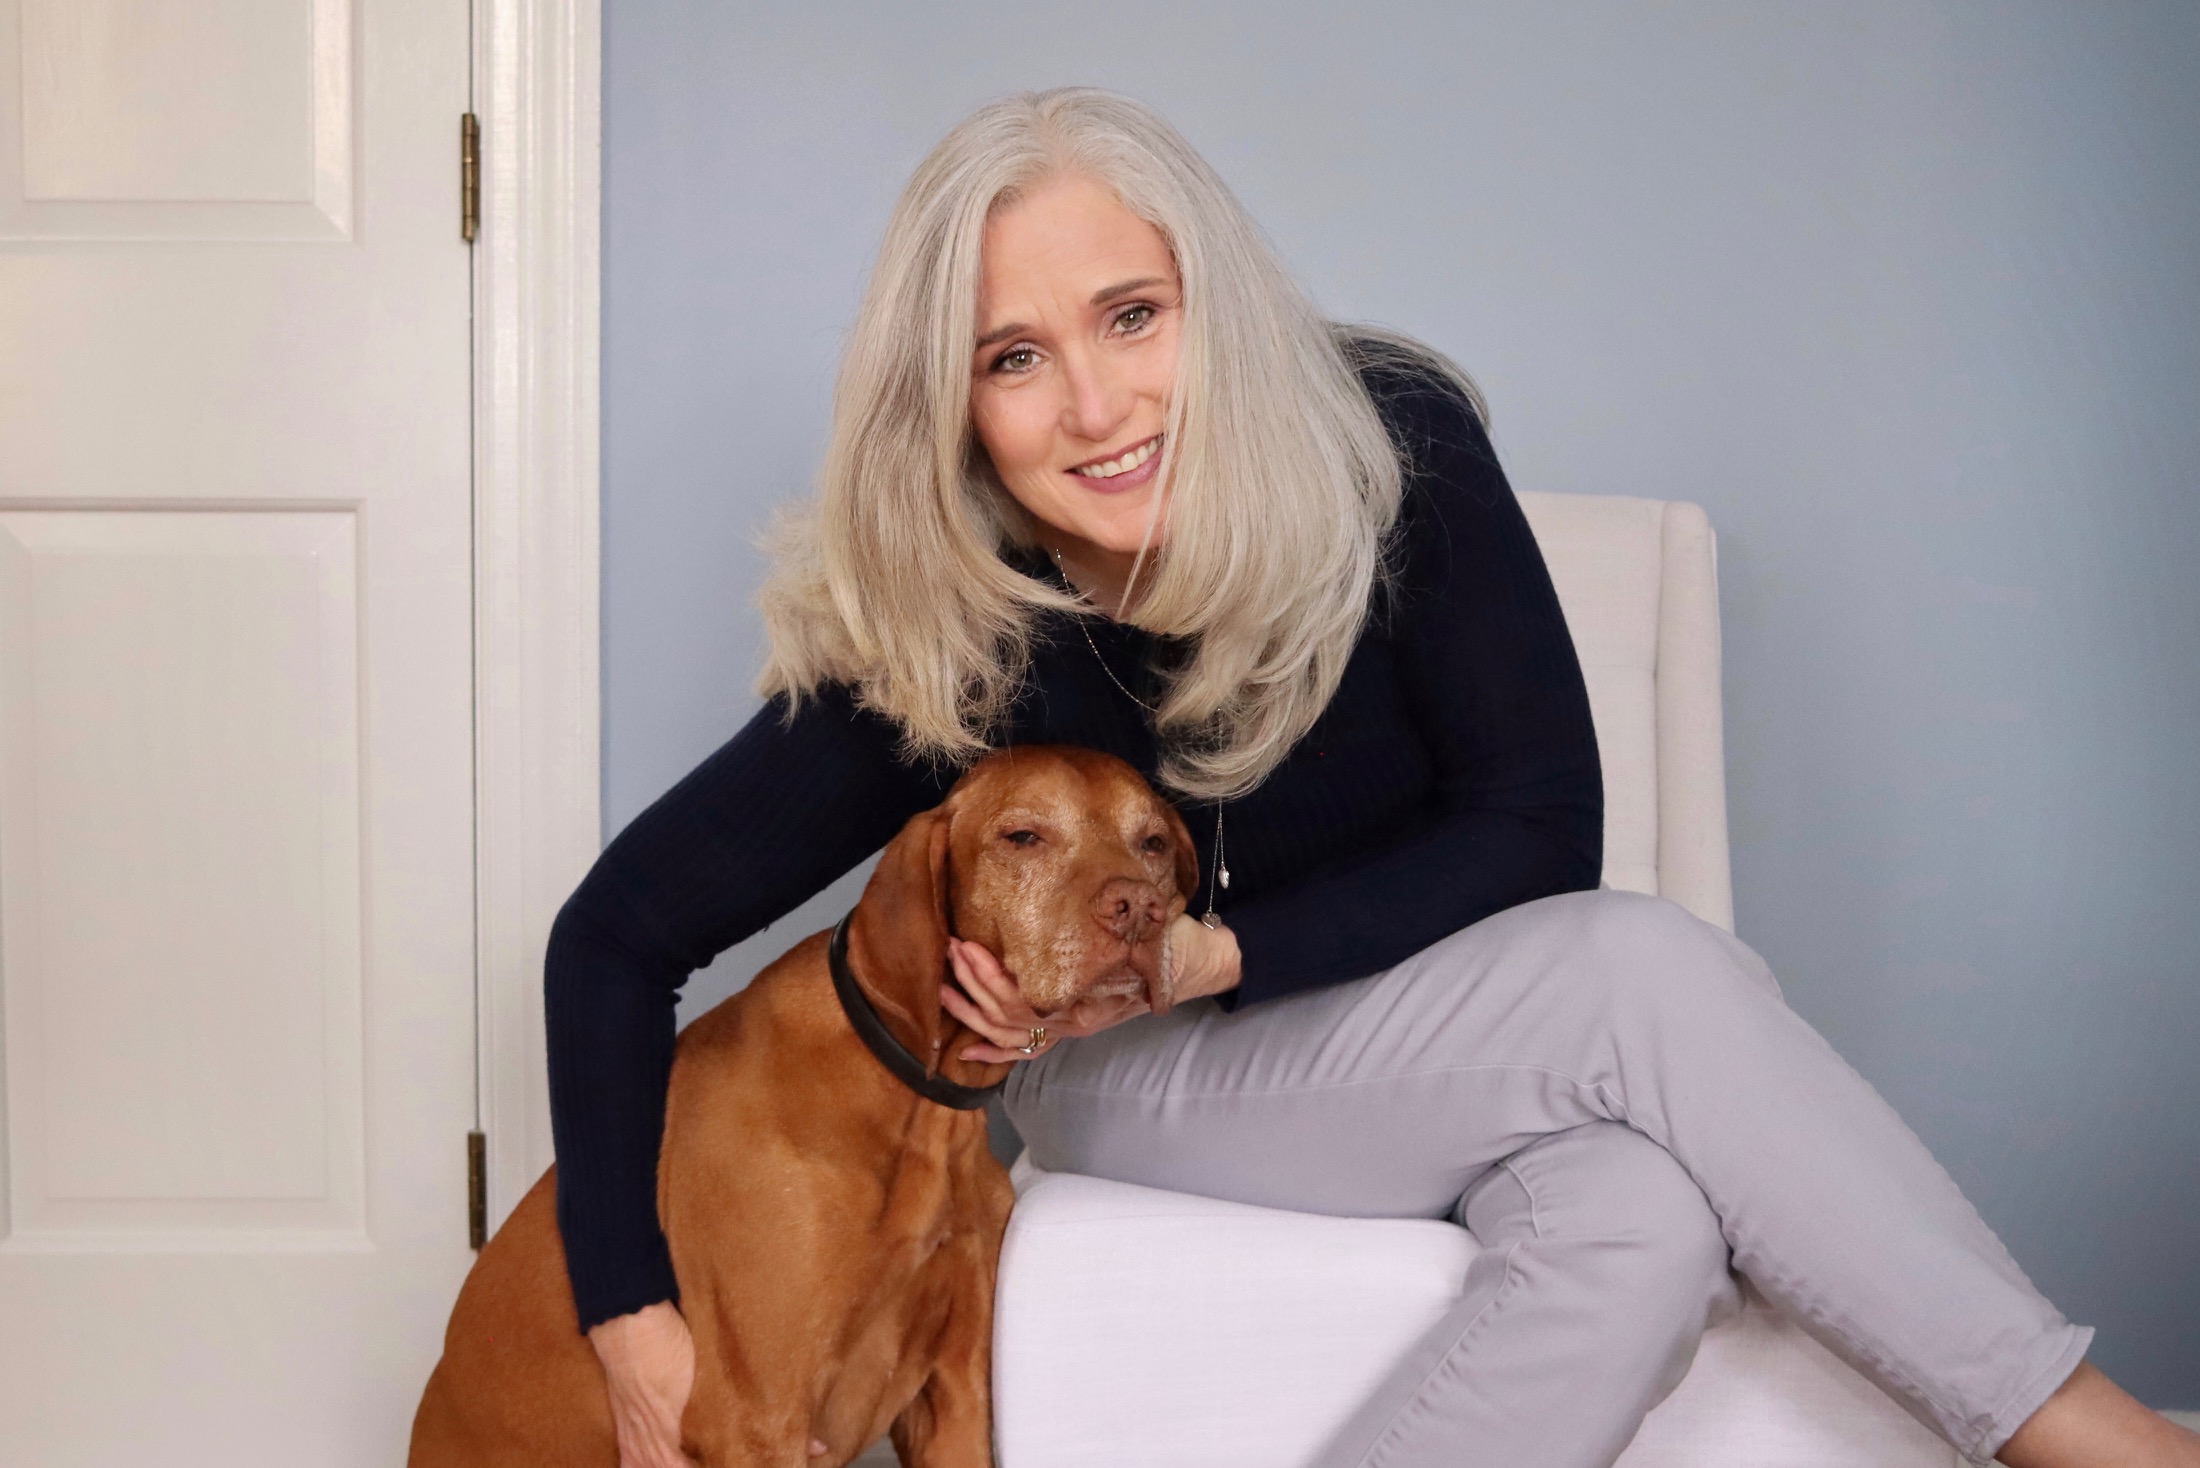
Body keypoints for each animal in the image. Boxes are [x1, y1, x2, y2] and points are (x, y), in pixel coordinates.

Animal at [413, 752, 1205, 1461]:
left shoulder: (956, 1397)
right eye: (1023, 837)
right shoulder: (758, 1421)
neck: (920, 1101)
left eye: (1154, 843)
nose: (1139, 911)